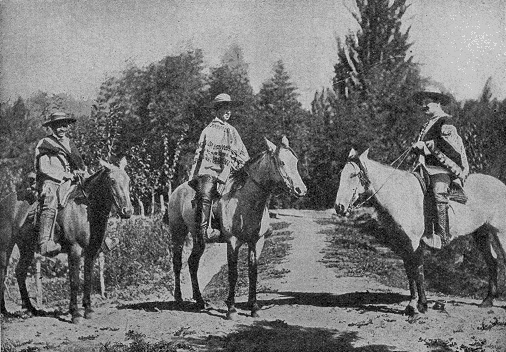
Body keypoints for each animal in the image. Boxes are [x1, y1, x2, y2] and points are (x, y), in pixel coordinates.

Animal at [0, 158, 133, 324]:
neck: (84, 208)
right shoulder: (74, 250)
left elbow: (88, 279)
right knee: (3, 273)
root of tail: (4, 201)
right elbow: (74, 281)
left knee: (20, 272)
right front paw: (75, 313)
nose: (127, 211)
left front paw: (88, 310)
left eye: (128, 180)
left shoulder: (92, 252)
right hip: (6, 247)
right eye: (112, 180)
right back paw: (4, 311)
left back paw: (30, 308)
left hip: (27, 248)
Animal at [168, 136, 306, 320]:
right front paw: (231, 309)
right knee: (177, 263)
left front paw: (254, 307)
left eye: (295, 161)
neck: (246, 200)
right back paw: (178, 298)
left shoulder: (257, 241)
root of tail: (176, 191)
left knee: (192, 263)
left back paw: (200, 301)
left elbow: (253, 272)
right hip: (178, 233)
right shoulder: (233, 242)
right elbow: (233, 274)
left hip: (199, 238)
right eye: (282, 162)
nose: (301, 190)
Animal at [336, 148, 506, 316]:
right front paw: (411, 305)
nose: (339, 207)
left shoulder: (414, 242)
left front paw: (422, 305)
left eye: (353, 175)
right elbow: (409, 272)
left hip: (500, 232)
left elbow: (418, 271)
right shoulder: (403, 243)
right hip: (481, 233)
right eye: (342, 174)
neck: (401, 195)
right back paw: (487, 300)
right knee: (492, 260)